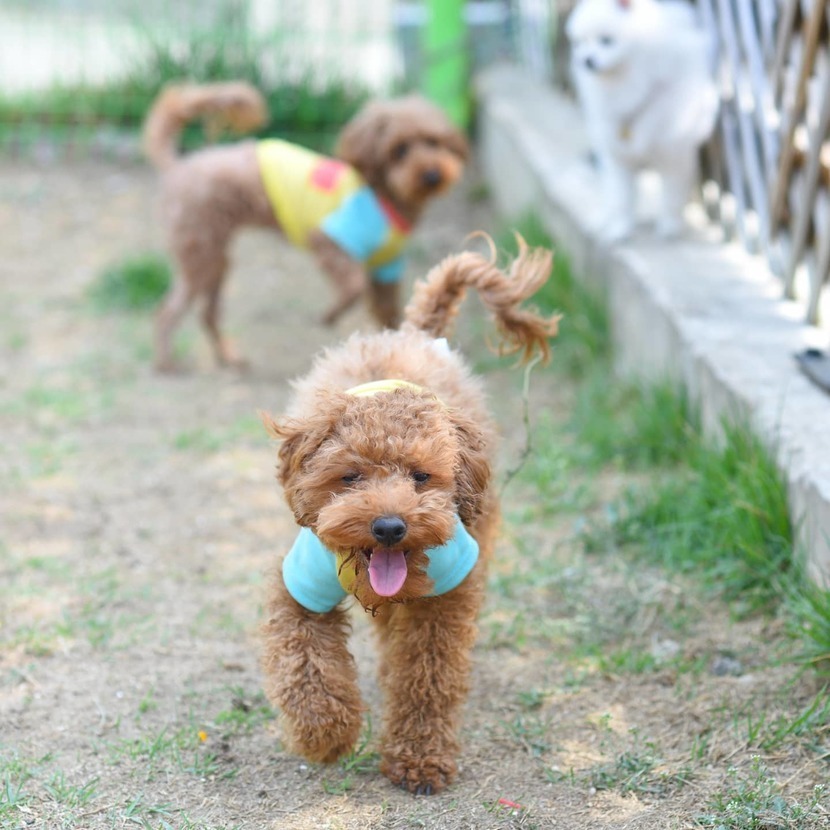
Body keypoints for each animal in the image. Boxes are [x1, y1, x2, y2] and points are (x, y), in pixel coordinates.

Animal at [143, 82, 468, 372]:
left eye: (434, 142)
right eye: (399, 150)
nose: (432, 175)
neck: (383, 193)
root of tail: (178, 165)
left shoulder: (386, 268)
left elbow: (387, 312)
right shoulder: (328, 241)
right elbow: (354, 287)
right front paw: (329, 317)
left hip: (214, 258)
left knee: (207, 314)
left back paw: (229, 357)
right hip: (200, 254)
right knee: (165, 312)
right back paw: (166, 363)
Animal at [259, 240, 559, 793]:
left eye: (421, 476)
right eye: (350, 476)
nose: (389, 527)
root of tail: (415, 333)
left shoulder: (448, 592)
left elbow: (428, 674)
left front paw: (419, 758)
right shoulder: (300, 585)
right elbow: (303, 659)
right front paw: (326, 732)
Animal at [566, 0, 718, 241]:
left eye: (606, 40)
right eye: (579, 44)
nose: (586, 60)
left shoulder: (674, 158)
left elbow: (671, 197)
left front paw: (669, 226)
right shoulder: (618, 160)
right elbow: (621, 199)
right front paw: (619, 228)